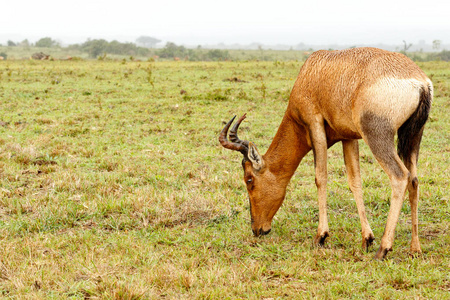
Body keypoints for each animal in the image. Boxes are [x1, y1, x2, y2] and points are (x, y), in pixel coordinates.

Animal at [219, 47, 432, 260]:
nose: (257, 229)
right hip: (413, 136)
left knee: (400, 176)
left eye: (249, 179)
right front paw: (367, 239)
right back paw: (415, 248)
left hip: (377, 135)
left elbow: (320, 177)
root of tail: (421, 82)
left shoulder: (315, 124)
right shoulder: (348, 136)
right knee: (414, 180)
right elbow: (355, 181)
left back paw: (383, 249)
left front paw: (321, 236)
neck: (310, 72)